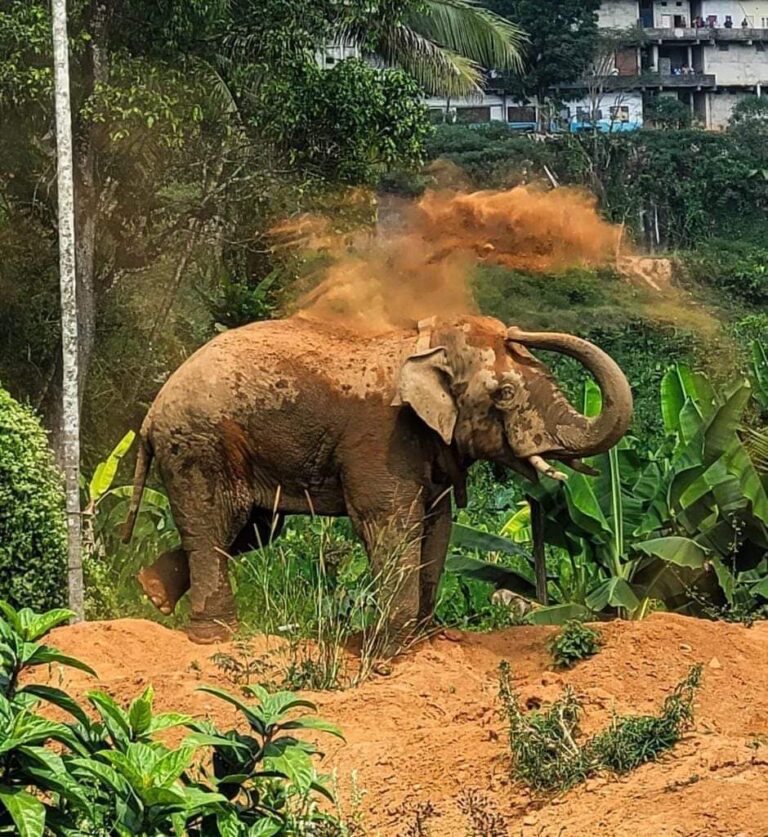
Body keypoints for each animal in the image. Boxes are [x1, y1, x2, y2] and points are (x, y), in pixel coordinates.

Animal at [123, 314, 632, 648]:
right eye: (504, 393)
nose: (516, 330)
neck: (423, 346)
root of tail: (150, 414)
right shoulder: (381, 438)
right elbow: (391, 521)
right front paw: (396, 645)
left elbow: (438, 524)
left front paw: (428, 636)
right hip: (199, 445)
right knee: (217, 524)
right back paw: (216, 635)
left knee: (251, 530)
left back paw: (153, 592)